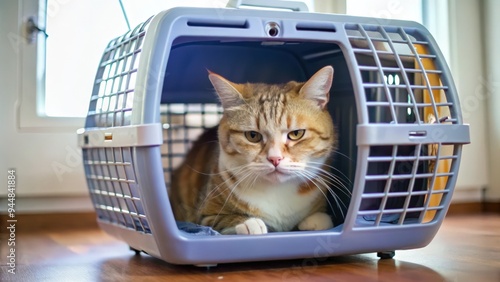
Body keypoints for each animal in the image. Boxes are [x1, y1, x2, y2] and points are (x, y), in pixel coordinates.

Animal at [170, 65, 338, 234]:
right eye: (252, 136)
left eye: (296, 134)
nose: (275, 159)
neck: (277, 191)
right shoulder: (205, 215)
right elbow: (220, 219)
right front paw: (248, 222)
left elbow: (320, 217)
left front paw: (317, 220)